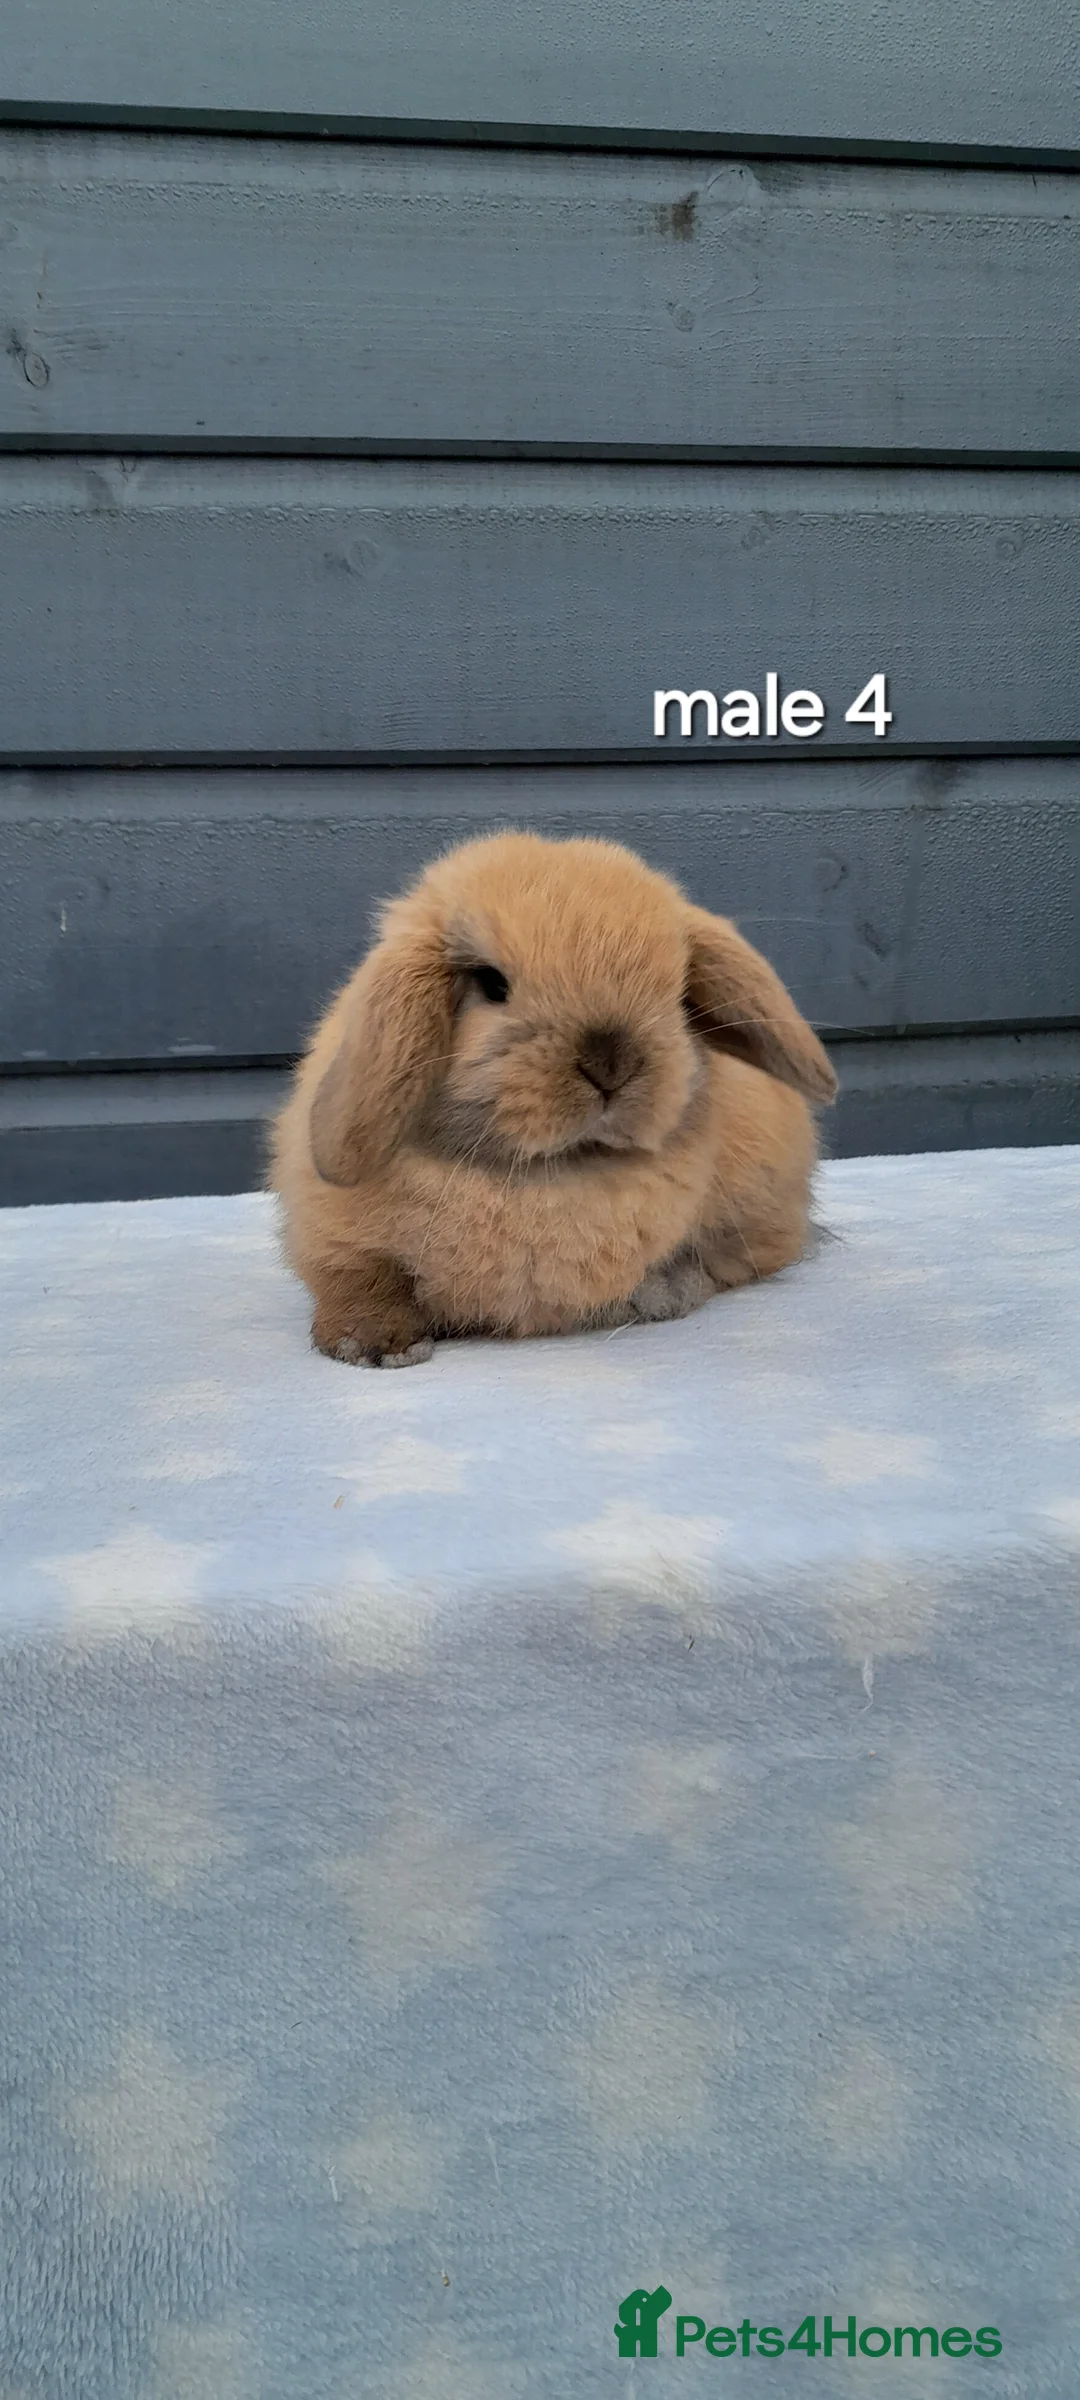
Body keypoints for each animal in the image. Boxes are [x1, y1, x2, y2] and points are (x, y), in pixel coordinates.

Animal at [269, 831, 837, 1365]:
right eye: (492, 984)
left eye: (679, 995)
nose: (610, 1065)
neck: (553, 1173)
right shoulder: (334, 1241)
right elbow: (361, 1280)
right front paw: (377, 1347)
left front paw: (664, 1291)